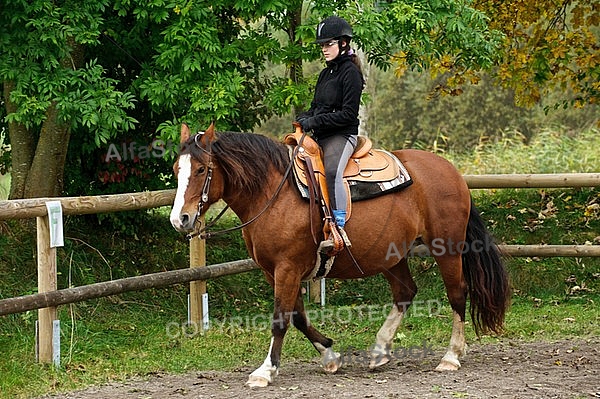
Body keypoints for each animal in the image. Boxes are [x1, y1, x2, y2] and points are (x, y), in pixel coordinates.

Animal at [169, 123, 510, 390]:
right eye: (176, 169)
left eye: (201, 169)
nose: (179, 219)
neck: (272, 193)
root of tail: (451, 171)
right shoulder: (275, 270)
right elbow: (299, 316)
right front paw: (330, 356)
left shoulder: (287, 268)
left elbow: (281, 319)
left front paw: (265, 371)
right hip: (391, 255)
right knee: (405, 293)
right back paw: (380, 350)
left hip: (447, 247)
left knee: (457, 293)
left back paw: (451, 356)